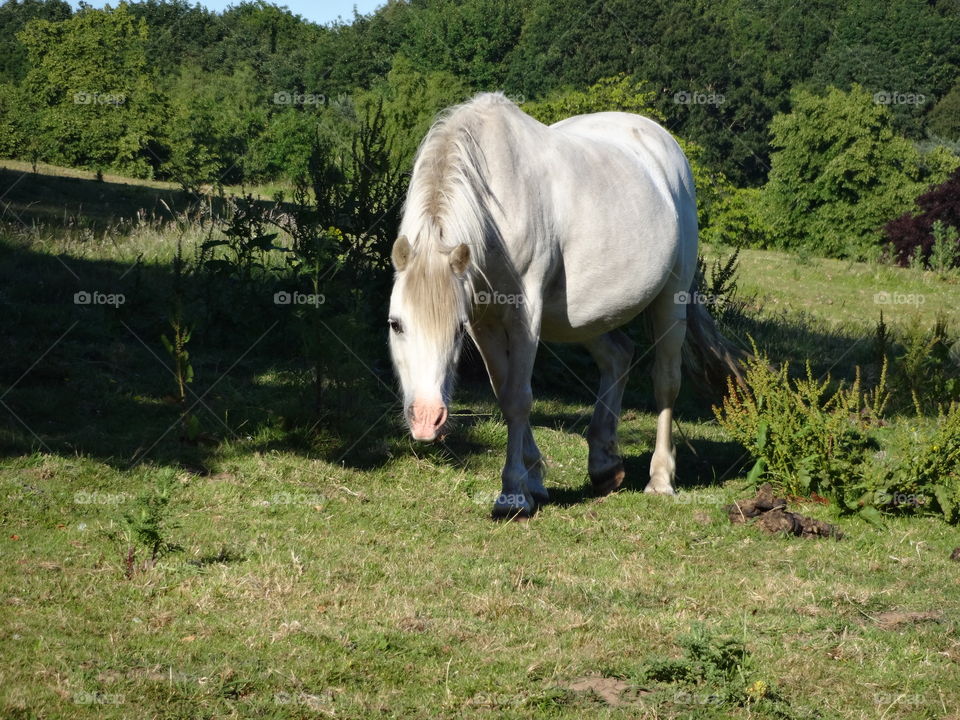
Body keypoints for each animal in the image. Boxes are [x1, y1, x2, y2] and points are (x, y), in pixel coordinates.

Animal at [386, 93, 740, 516]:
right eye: (396, 324)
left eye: (454, 330)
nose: (426, 419)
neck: (497, 204)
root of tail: (663, 143)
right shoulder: (485, 322)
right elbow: (504, 392)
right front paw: (534, 479)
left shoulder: (524, 315)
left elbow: (519, 398)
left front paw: (513, 493)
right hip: (589, 316)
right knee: (618, 355)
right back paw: (605, 467)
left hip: (672, 299)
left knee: (666, 382)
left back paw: (660, 480)